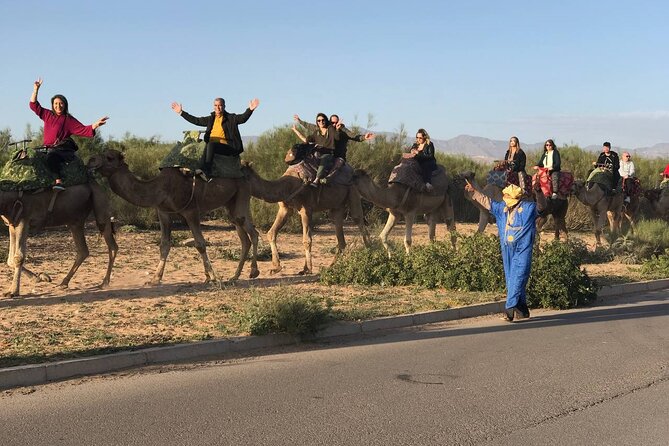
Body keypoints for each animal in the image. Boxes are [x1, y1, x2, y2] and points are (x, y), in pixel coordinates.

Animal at [87, 149, 258, 282]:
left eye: (110, 157)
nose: (91, 160)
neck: (160, 188)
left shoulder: (191, 211)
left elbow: (200, 244)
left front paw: (213, 277)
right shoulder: (163, 212)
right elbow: (164, 245)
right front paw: (155, 279)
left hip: (242, 193)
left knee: (252, 231)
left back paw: (253, 272)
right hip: (230, 203)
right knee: (244, 236)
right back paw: (235, 276)